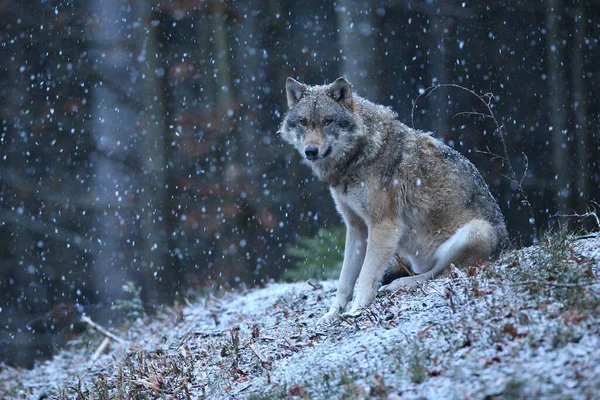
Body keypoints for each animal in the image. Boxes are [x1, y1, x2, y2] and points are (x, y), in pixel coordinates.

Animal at [278, 77, 508, 324]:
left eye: (327, 121)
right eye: (303, 122)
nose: (310, 151)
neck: (358, 156)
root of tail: (507, 246)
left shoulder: (384, 226)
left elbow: (366, 275)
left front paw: (356, 310)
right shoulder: (356, 228)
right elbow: (344, 281)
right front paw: (332, 314)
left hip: (475, 231)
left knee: (441, 273)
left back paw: (400, 283)